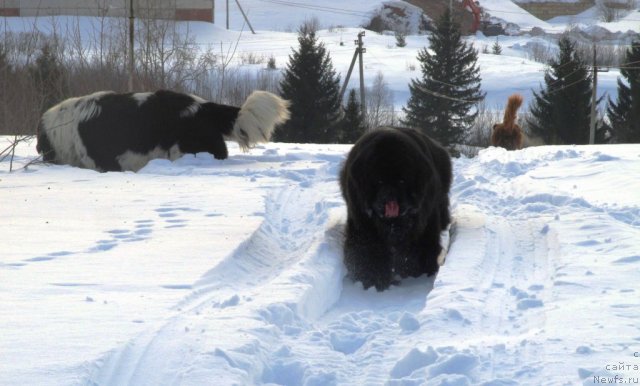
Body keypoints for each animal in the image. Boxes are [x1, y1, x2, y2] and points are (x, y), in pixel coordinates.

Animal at [340, 126, 456, 290]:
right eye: (379, 181)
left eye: (402, 181)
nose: (390, 196)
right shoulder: (363, 223)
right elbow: (368, 249)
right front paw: (372, 278)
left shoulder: (424, 220)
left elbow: (420, 245)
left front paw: (416, 271)